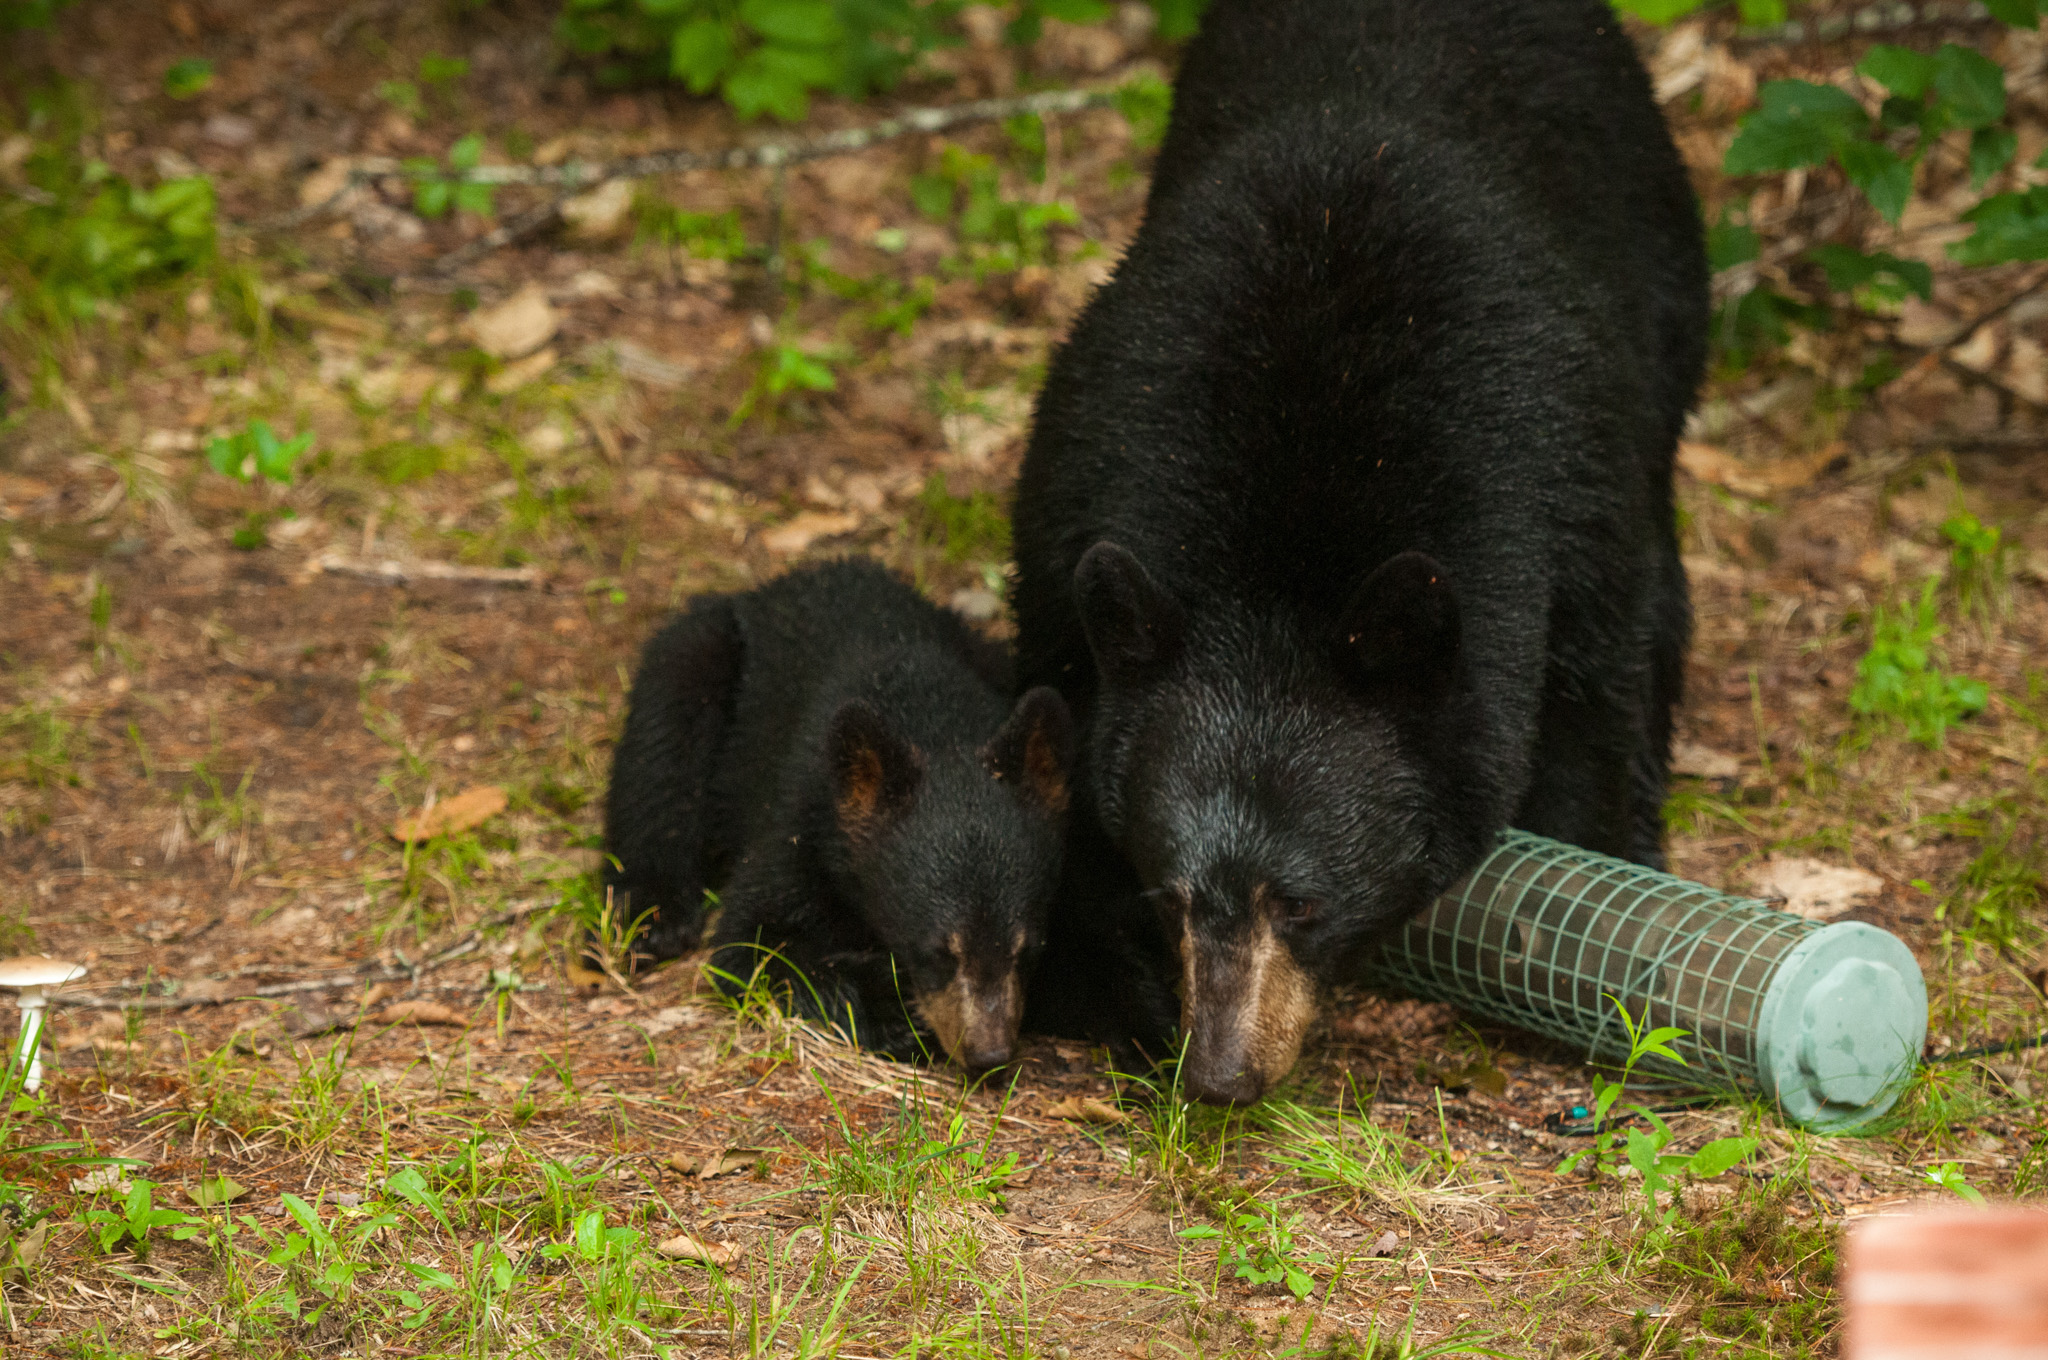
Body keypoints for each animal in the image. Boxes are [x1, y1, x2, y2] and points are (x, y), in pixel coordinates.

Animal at [601, 558, 1073, 1069]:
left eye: (1028, 949)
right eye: (935, 951)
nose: (989, 1055)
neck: (927, 714)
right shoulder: (804, 820)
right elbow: (752, 941)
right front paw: (890, 1009)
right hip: (699, 652)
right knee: (660, 753)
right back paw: (651, 918)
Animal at [1010, 0, 1709, 1103]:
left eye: (1300, 902)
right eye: (1171, 895)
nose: (1222, 1075)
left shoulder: (1562, 492)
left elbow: (1595, 704)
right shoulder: (1071, 499)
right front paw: (1120, 986)